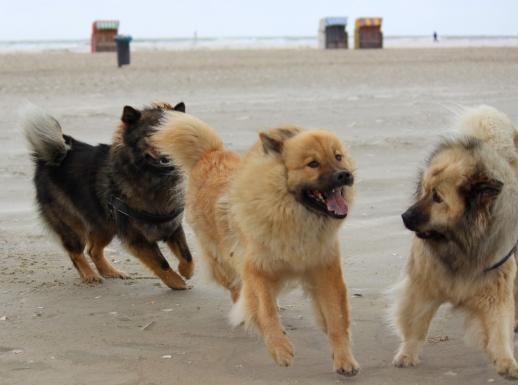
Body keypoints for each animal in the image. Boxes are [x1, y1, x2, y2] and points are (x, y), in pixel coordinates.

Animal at [22, 102, 193, 288]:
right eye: (150, 134)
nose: (168, 153)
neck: (152, 177)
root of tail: (56, 156)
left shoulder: (172, 226)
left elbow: (187, 254)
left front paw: (185, 271)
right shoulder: (136, 237)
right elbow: (161, 262)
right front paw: (176, 282)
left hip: (105, 225)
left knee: (93, 250)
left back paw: (111, 272)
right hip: (73, 226)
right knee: (76, 253)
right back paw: (90, 275)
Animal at [152, 112, 360, 374]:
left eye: (338, 156)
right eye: (313, 163)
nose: (345, 175)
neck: (293, 217)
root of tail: (210, 154)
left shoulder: (324, 270)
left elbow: (336, 319)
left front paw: (344, 359)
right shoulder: (257, 269)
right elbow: (265, 310)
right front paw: (280, 349)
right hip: (223, 262)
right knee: (237, 289)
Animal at [394, 106, 518, 378]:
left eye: (437, 198)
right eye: (424, 191)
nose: (405, 216)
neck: (461, 243)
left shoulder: (496, 287)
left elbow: (499, 329)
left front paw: (506, 362)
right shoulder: (423, 286)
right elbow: (416, 326)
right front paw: (407, 355)